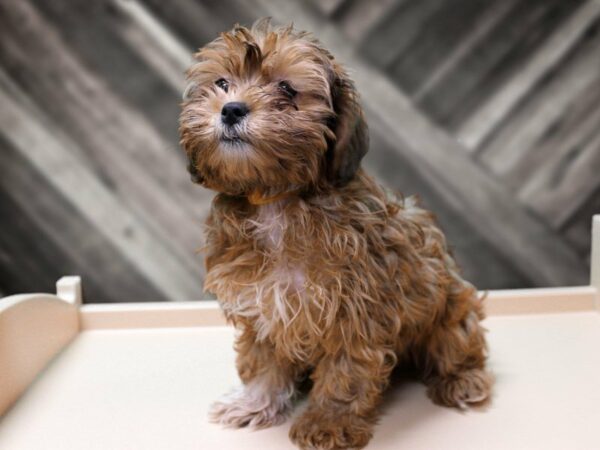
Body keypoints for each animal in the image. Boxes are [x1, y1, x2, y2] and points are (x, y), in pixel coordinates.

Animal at [179, 18, 492, 450]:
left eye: (287, 89)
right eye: (222, 83)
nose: (231, 109)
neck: (277, 200)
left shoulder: (355, 310)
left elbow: (346, 372)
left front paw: (328, 422)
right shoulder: (262, 305)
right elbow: (264, 361)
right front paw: (255, 403)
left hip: (450, 309)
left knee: (458, 344)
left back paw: (463, 380)